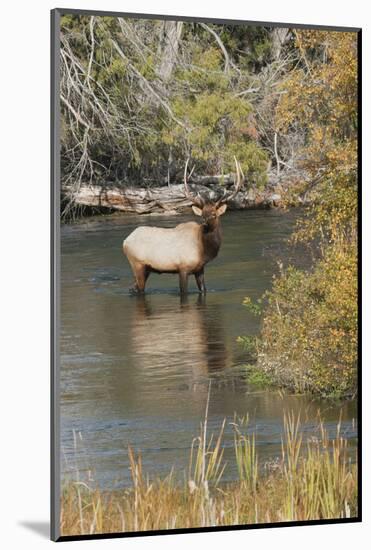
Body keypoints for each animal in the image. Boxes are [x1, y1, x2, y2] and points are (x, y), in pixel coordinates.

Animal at [123, 156, 246, 294]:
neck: (204, 249)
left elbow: (203, 290)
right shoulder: (183, 268)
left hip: (146, 269)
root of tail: (125, 241)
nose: (205, 223)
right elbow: (184, 292)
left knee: (132, 289)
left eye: (214, 214)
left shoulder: (199, 269)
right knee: (140, 290)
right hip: (137, 265)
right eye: (202, 214)